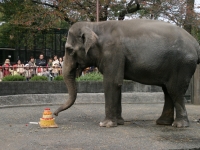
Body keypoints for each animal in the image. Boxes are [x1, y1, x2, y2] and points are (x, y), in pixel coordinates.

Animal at [53, 18, 200, 127]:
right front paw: (119, 122)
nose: (55, 114)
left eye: (69, 50)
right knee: (167, 91)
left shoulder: (113, 51)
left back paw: (179, 125)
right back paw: (163, 123)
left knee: (175, 90)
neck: (95, 25)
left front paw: (106, 124)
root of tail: (196, 43)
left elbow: (111, 82)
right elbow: (118, 84)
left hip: (182, 64)